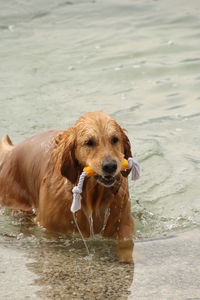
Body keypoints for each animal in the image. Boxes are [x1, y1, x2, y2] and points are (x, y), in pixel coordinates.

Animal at [0, 112, 135, 262]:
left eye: (115, 139)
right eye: (89, 142)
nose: (110, 166)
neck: (92, 197)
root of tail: (11, 152)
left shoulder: (123, 223)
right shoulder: (49, 228)